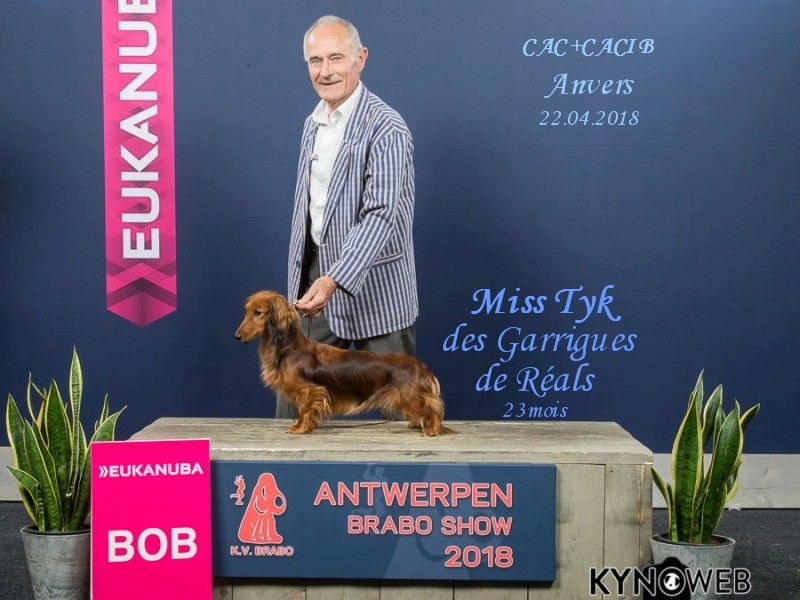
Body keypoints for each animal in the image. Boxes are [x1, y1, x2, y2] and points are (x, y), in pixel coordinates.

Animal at [235, 290, 454, 436]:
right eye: (246, 312)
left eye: (258, 313)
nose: (237, 336)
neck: (290, 348)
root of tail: (421, 366)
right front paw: (309, 426)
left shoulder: (309, 390)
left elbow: (304, 409)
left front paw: (300, 427)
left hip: (410, 396)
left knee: (434, 408)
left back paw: (432, 428)